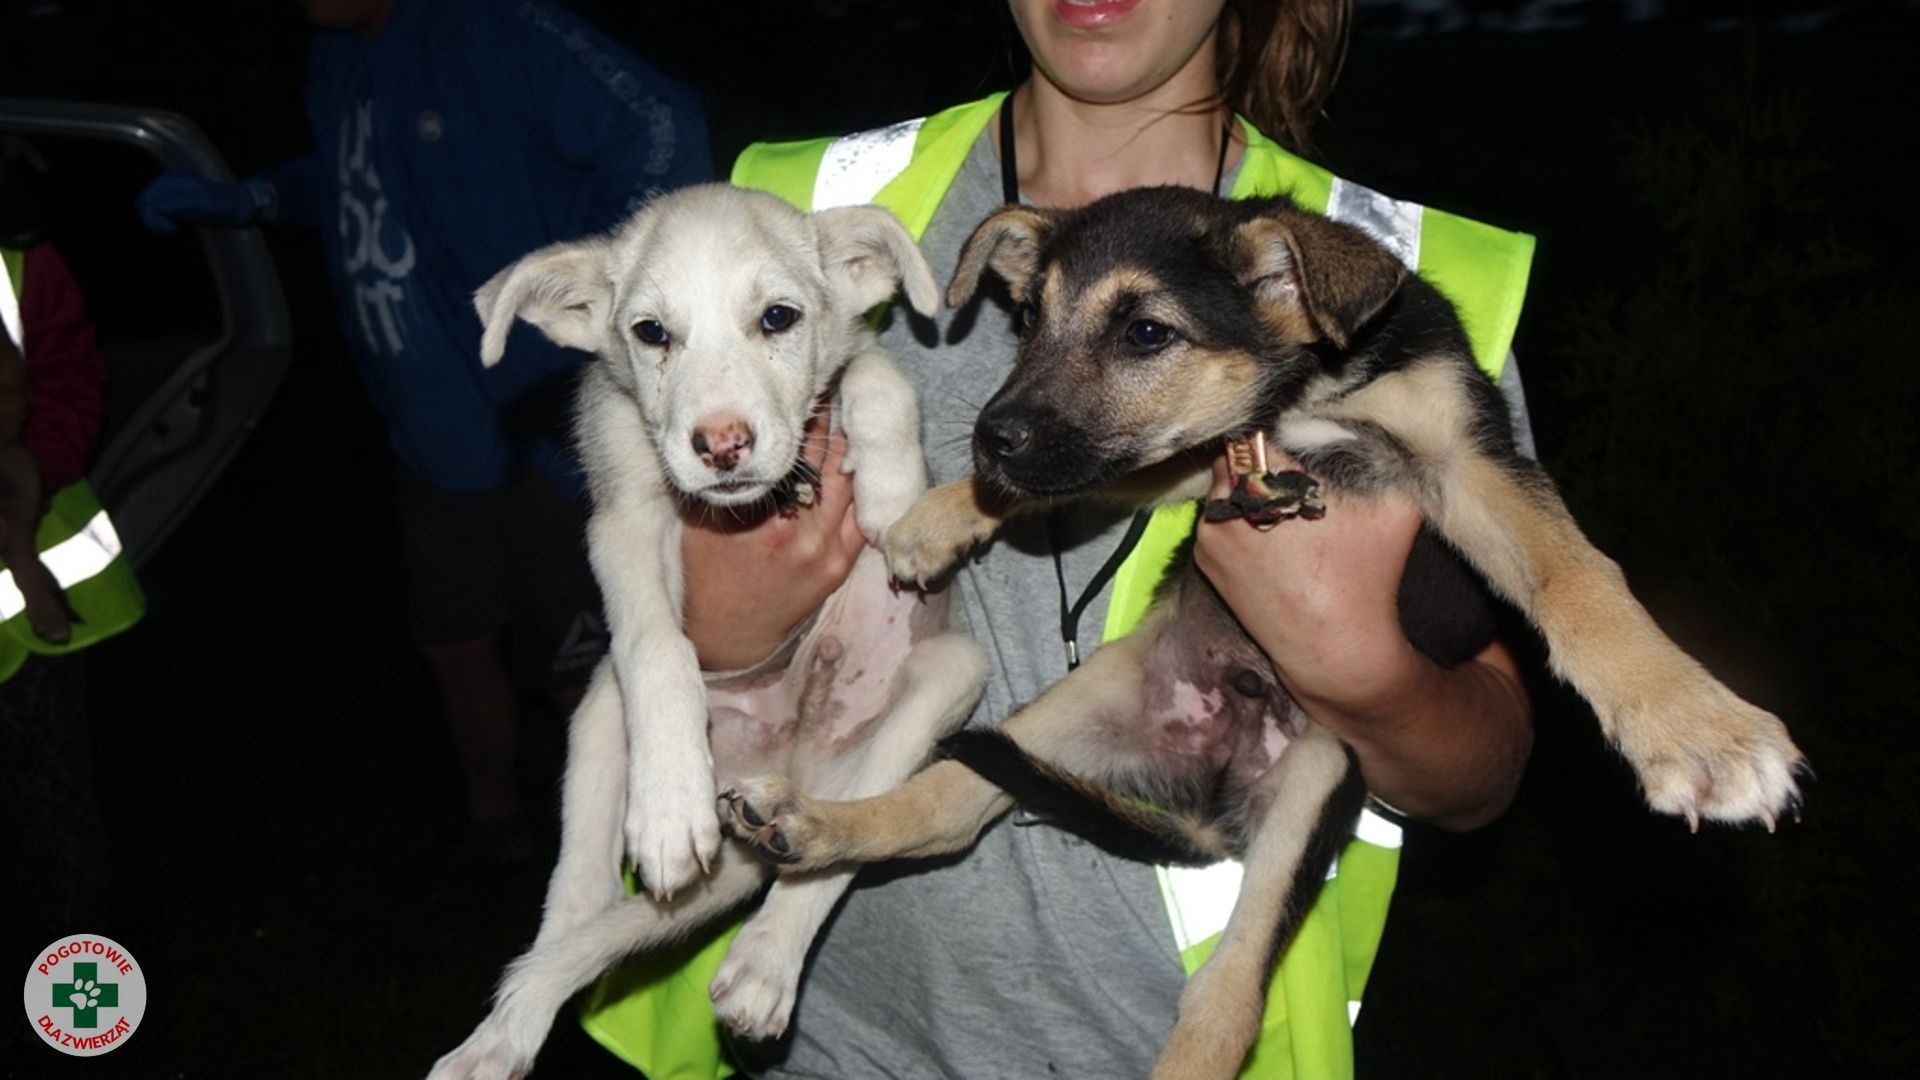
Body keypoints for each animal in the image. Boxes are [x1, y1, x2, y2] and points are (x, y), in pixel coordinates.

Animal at [428, 180, 983, 1068]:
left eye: (779, 318)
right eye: (652, 333)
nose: (721, 446)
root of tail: (788, 766)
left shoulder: (853, 354)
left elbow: (875, 370)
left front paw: (897, 494)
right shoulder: (622, 517)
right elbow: (657, 644)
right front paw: (665, 812)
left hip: (946, 684)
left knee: (838, 843)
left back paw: (765, 960)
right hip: (599, 709)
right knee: (574, 901)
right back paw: (506, 1032)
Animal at [718, 187, 1797, 1076]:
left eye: (1146, 332)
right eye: (1029, 319)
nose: (991, 442)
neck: (1306, 392)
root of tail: (1212, 788)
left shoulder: (1466, 464)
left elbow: (1573, 573)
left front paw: (1695, 725)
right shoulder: (1207, 460)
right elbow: (1102, 476)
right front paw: (946, 514)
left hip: (1316, 788)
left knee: (1226, 1005)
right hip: (1067, 711)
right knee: (947, 806)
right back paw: (812, 825)